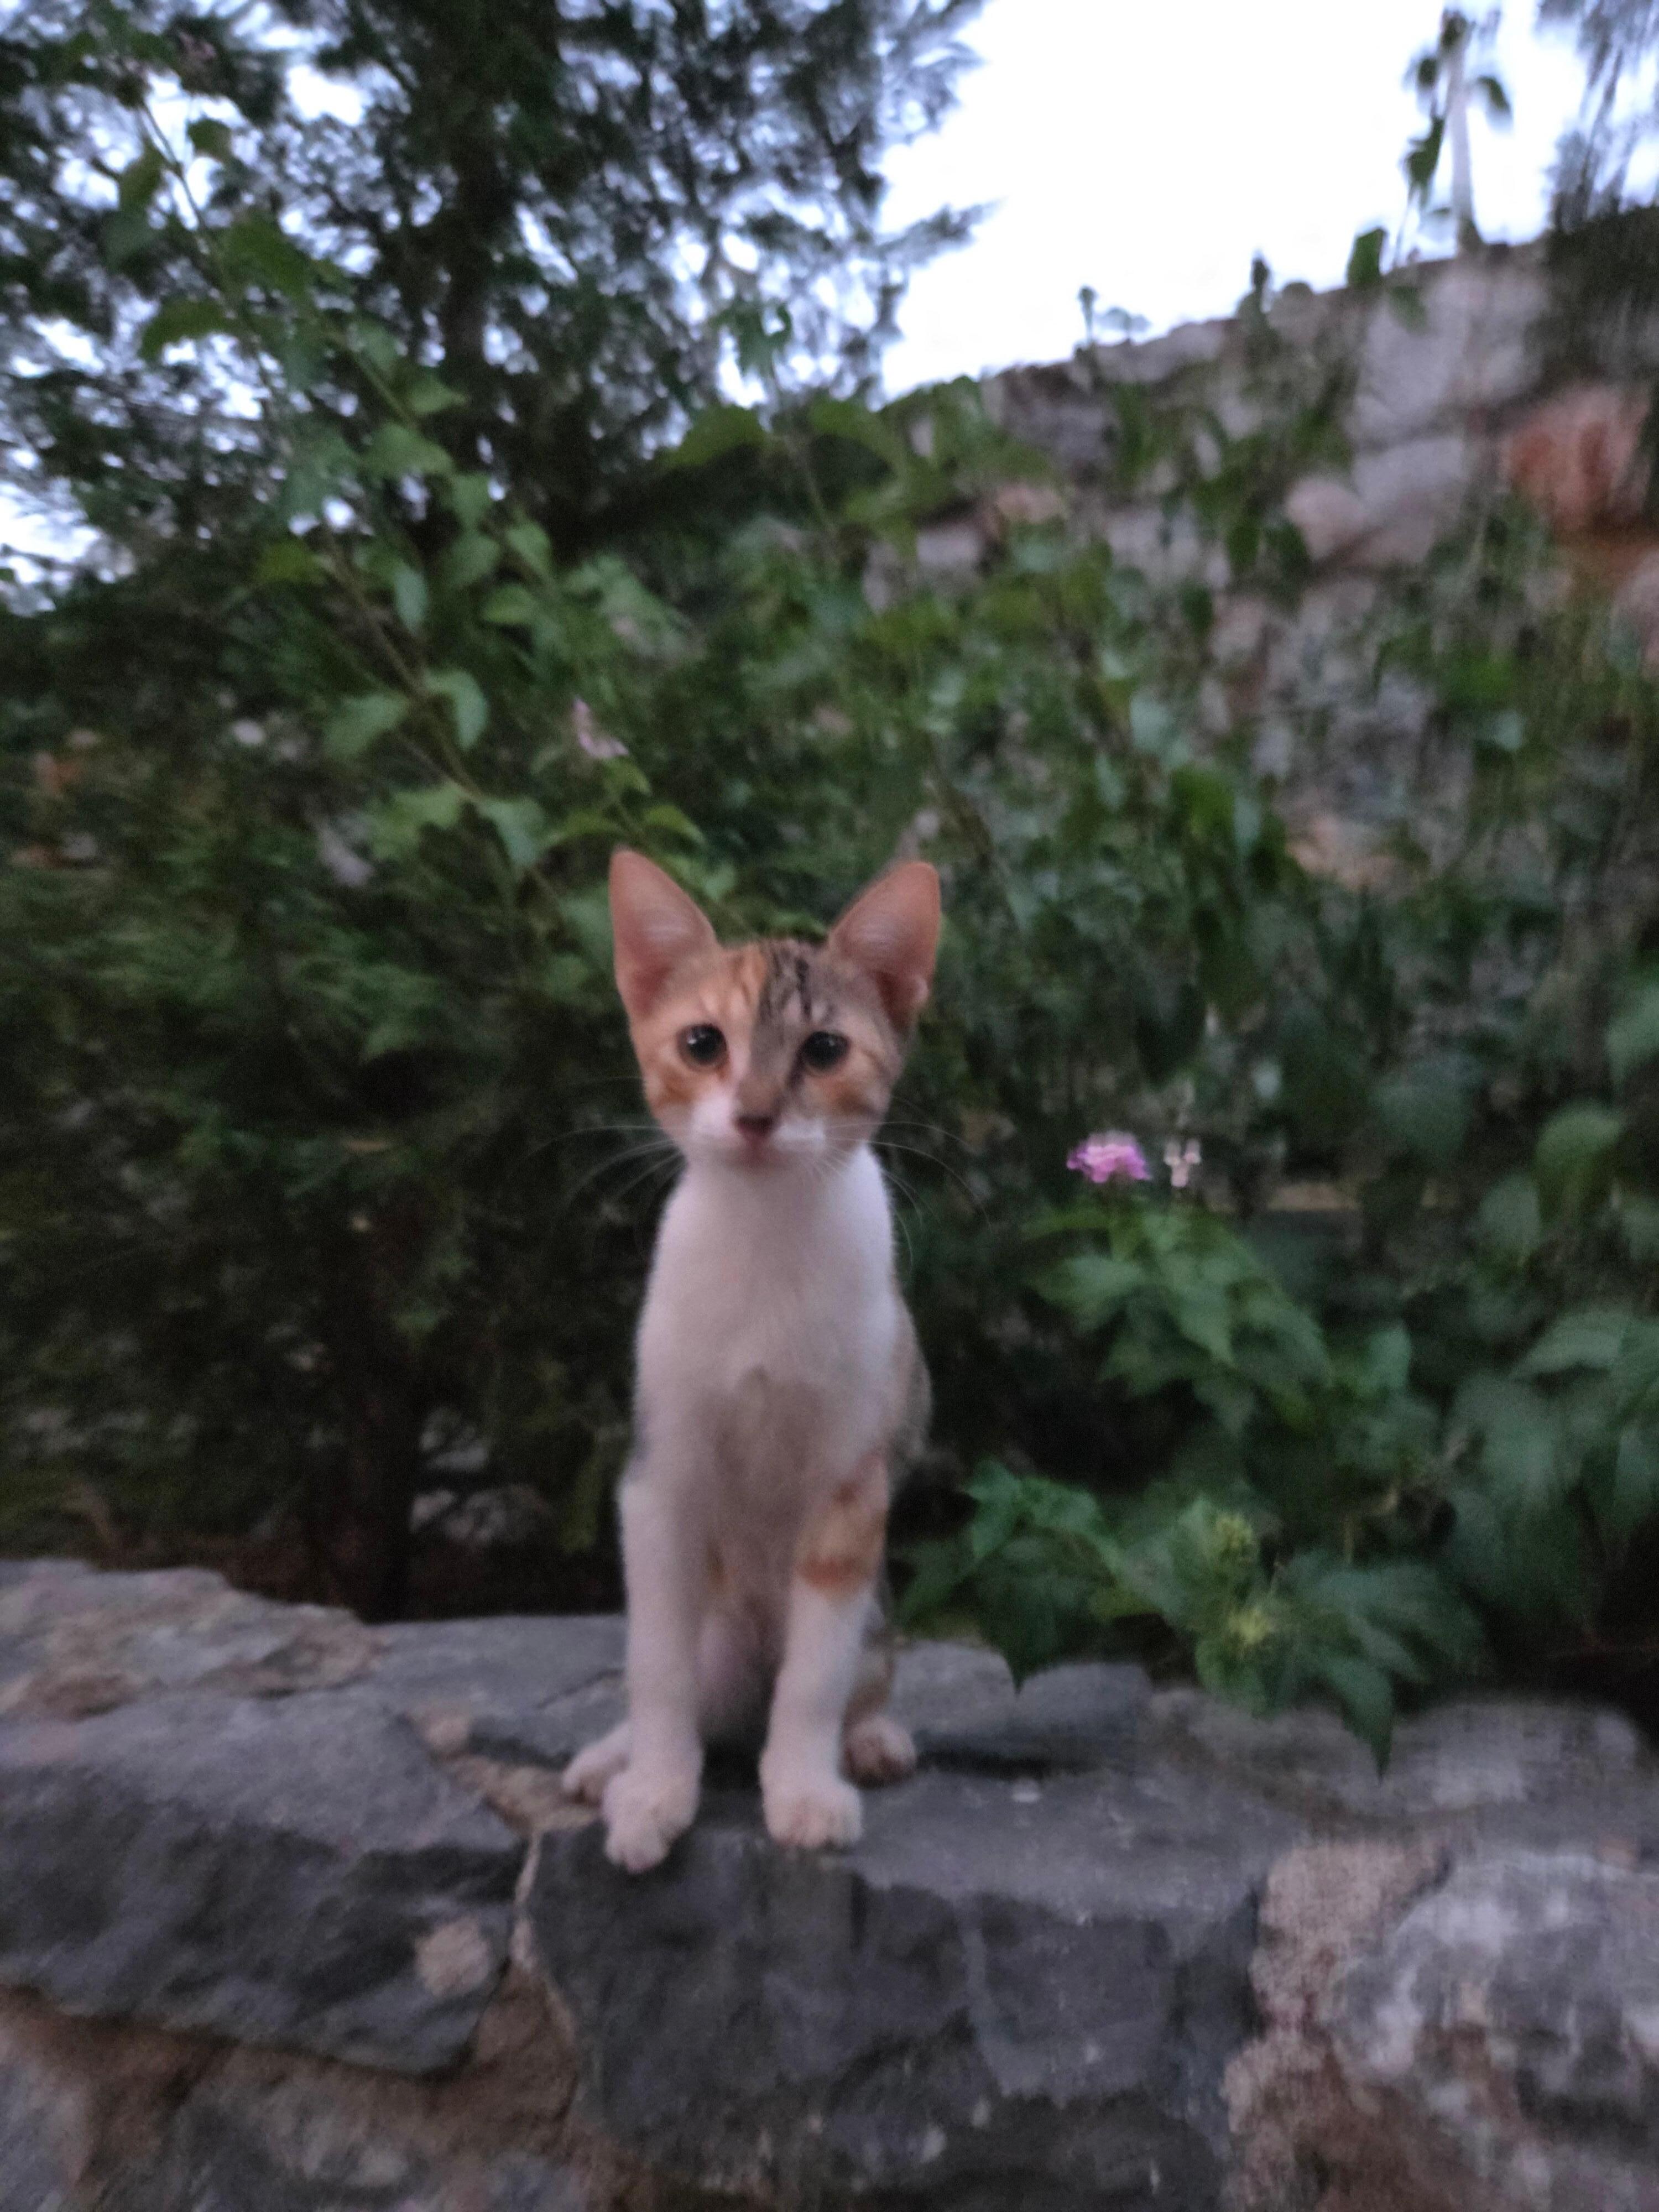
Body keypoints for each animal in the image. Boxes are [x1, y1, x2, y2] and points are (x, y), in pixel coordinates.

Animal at [562, 849, 940, 1873]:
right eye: (702, 1044)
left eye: (825, 1051)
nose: (759, 1115)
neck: (768, 1237)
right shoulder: (659, 1478)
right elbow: (654, 1666)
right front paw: (655, 1787)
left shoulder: (853, 1489)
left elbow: (814, 1677)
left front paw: (803, 1788)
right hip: (718, 1631)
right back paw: (611, 1759)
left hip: (880, 1611)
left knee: (857, 1674)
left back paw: (870, 1738)